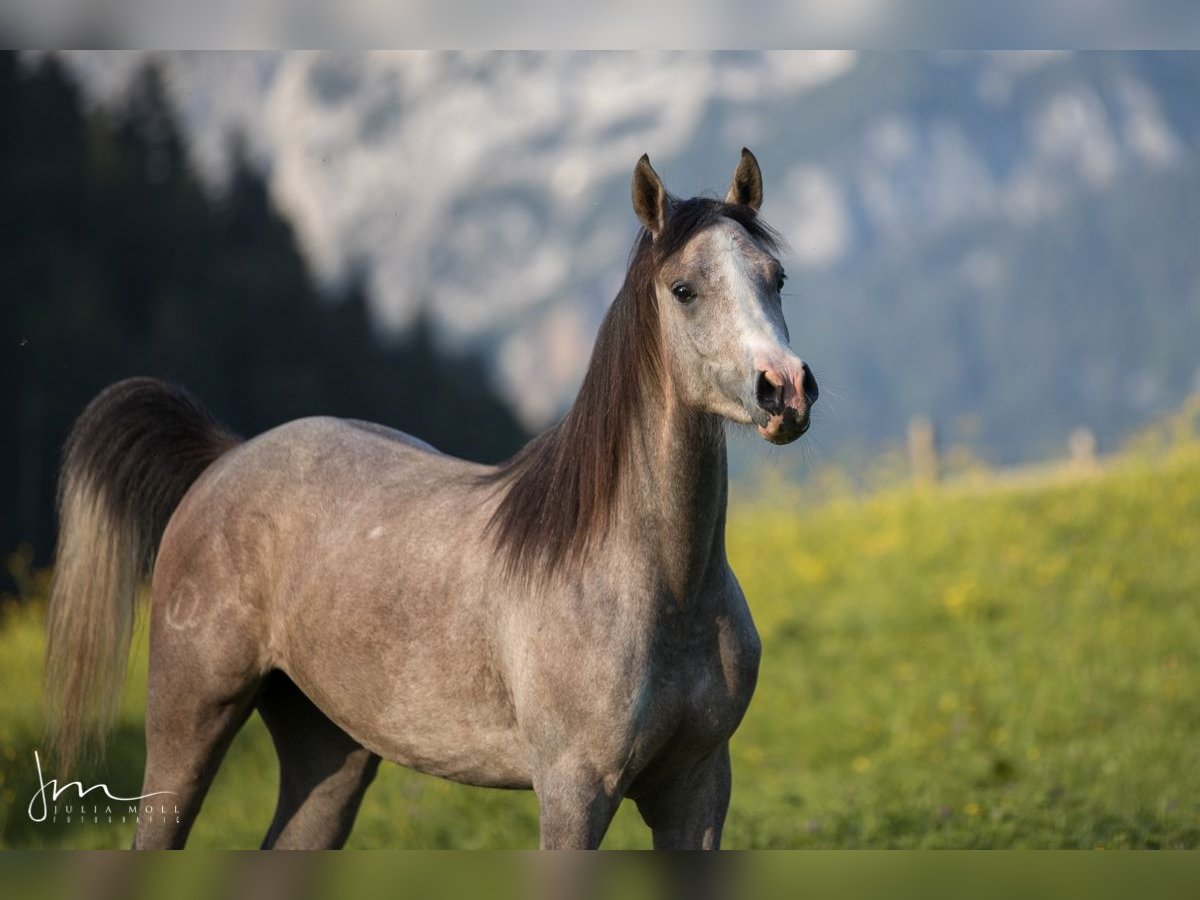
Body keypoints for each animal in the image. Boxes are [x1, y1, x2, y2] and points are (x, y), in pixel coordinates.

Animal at [44, 150, 816, 854]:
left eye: (776, 278)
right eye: (684, 289)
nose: (785, 389)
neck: (660, 589)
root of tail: (223, 458)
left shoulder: (698, 790)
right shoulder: (574, 791)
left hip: (330, 752)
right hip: (187, 724)